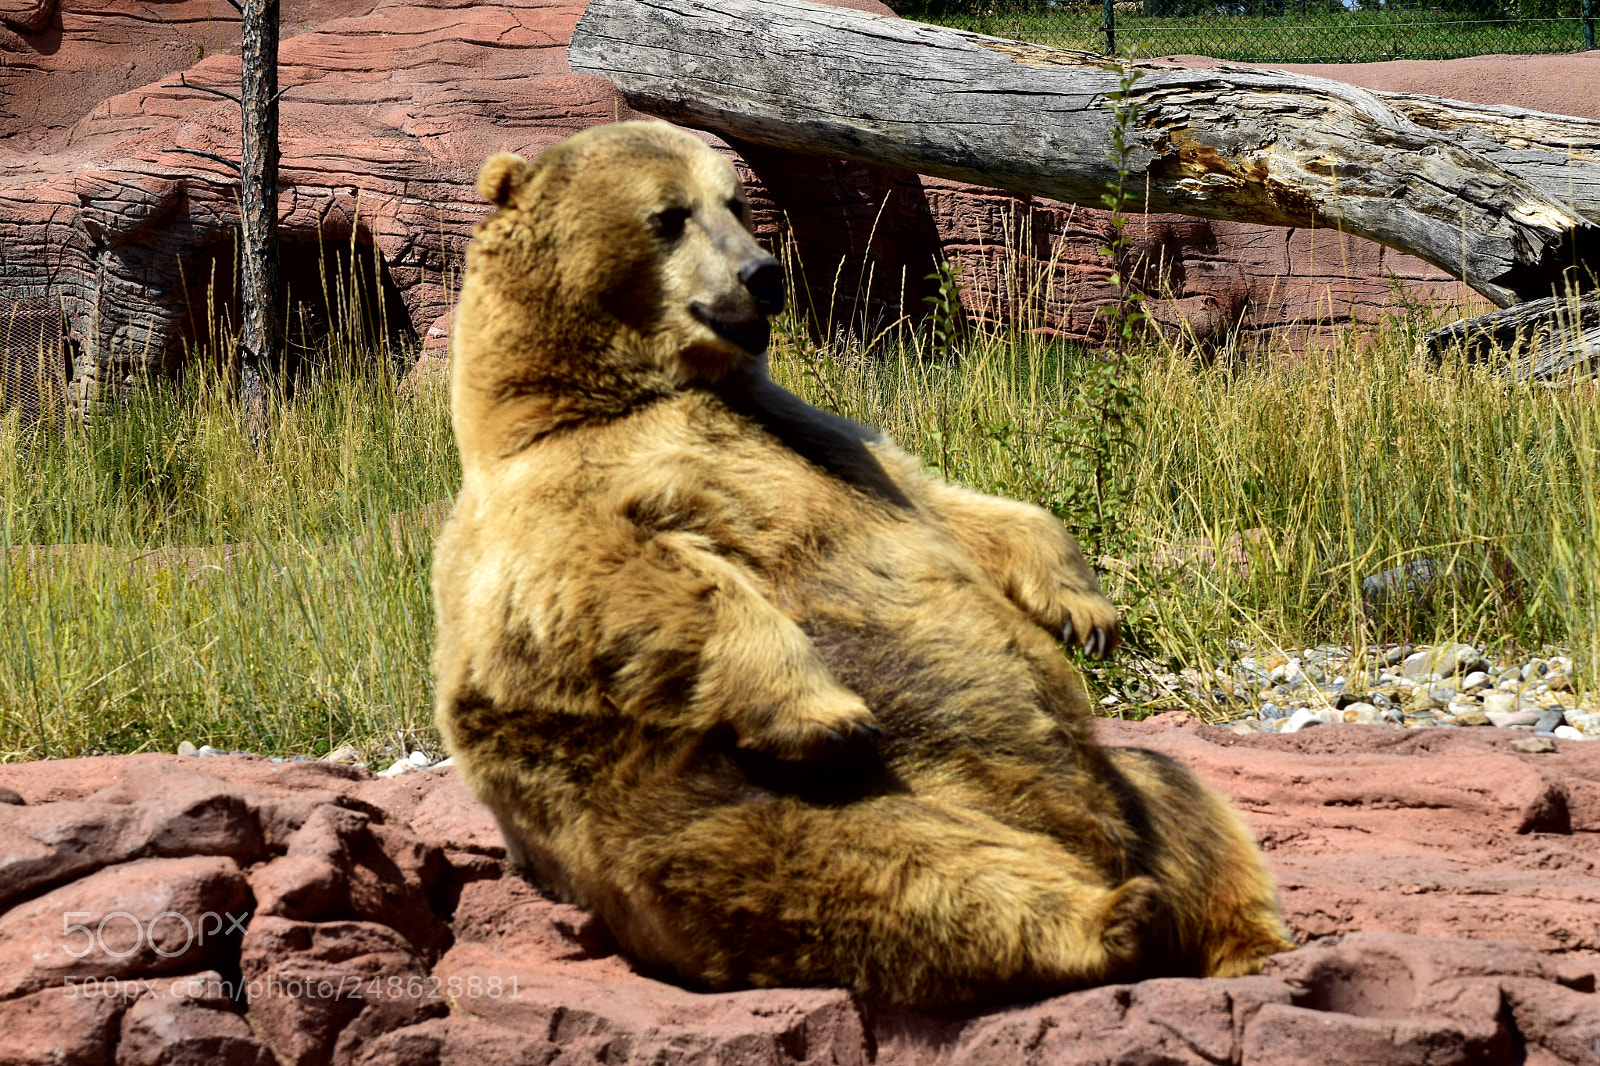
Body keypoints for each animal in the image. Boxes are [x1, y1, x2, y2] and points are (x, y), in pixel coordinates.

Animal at [432, 120, 1294, 1006]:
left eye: (735, 201)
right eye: (669, 215)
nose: (763, 274)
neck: (610, 388)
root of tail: (1094, 843)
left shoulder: (820, 433)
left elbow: (951, 506)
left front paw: (1084, 611)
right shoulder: (555, 498)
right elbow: (623, 580)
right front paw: (824, 711)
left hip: (1118, 782)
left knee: (1180, 795)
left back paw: (1242, 941)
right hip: (759, 803)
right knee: (892, 870)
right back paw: (1111, 920)